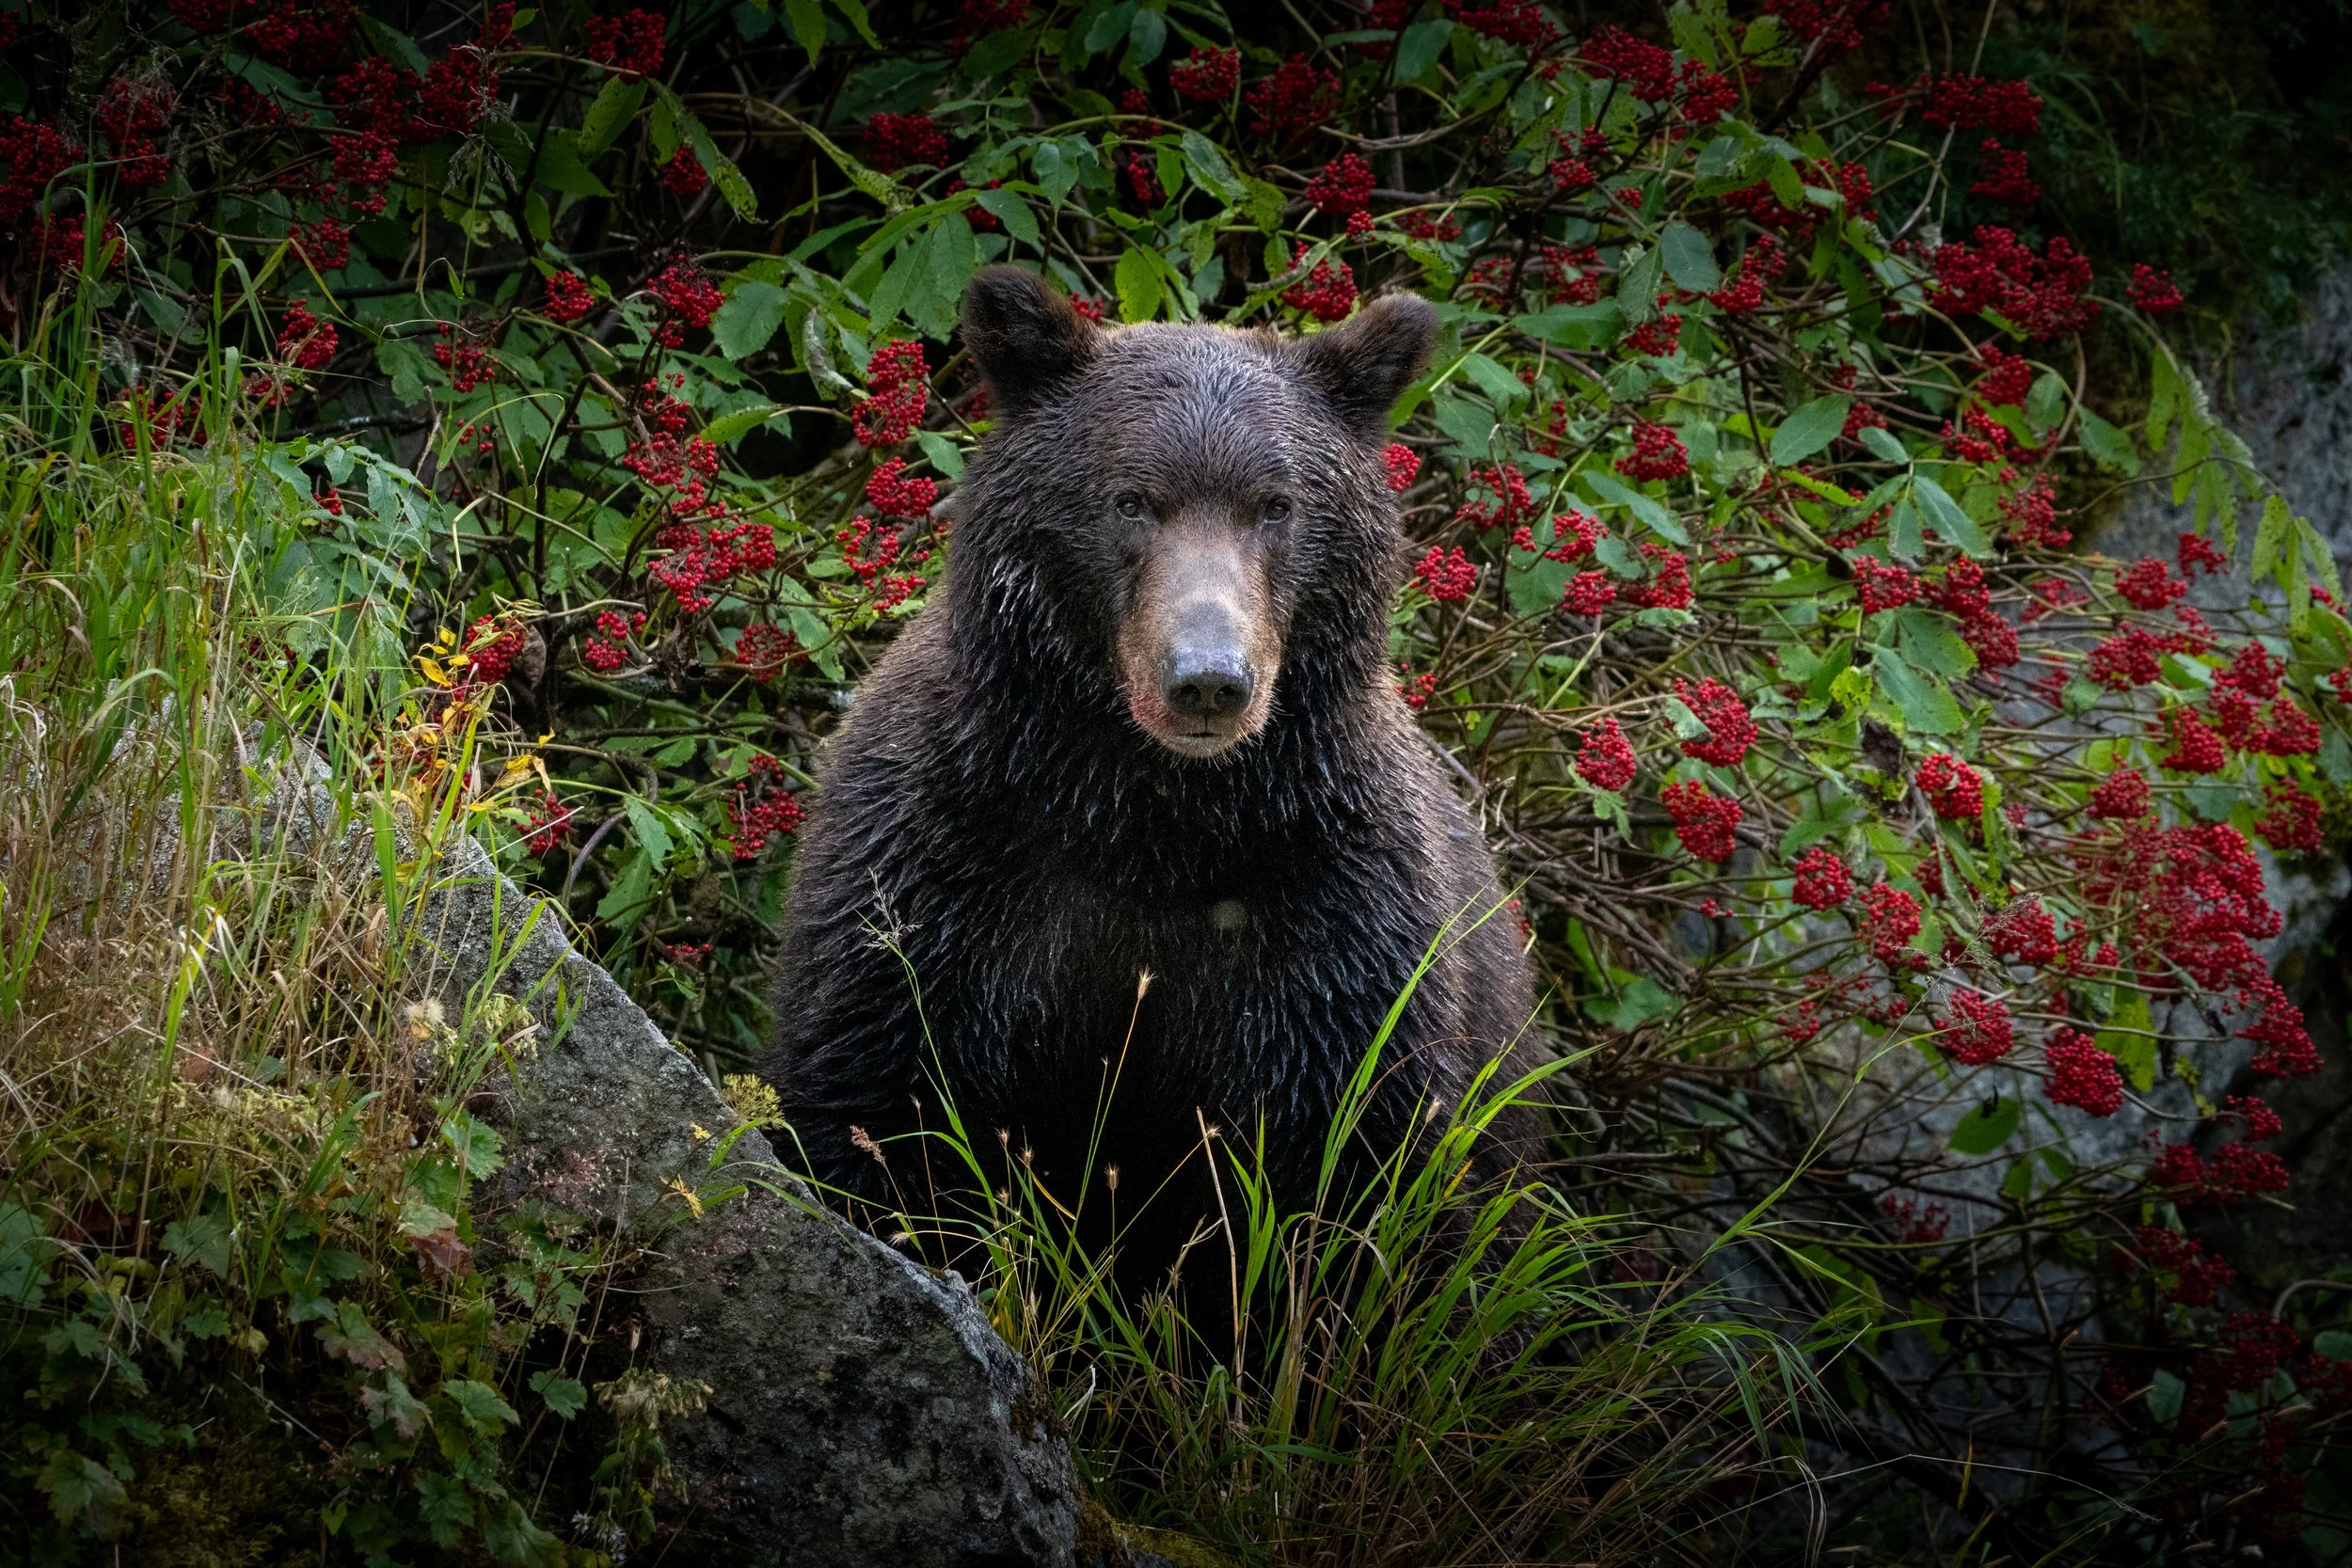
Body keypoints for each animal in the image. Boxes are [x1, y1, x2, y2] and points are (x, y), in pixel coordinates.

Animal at [764, 266, 1543, 1284]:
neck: (1151, 821)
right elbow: (875, 1094)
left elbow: (1347, 1172)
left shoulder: (1330, 908)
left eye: (1275, 503)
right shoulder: (941, 862)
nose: (1208, 677)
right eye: (1133, 499)